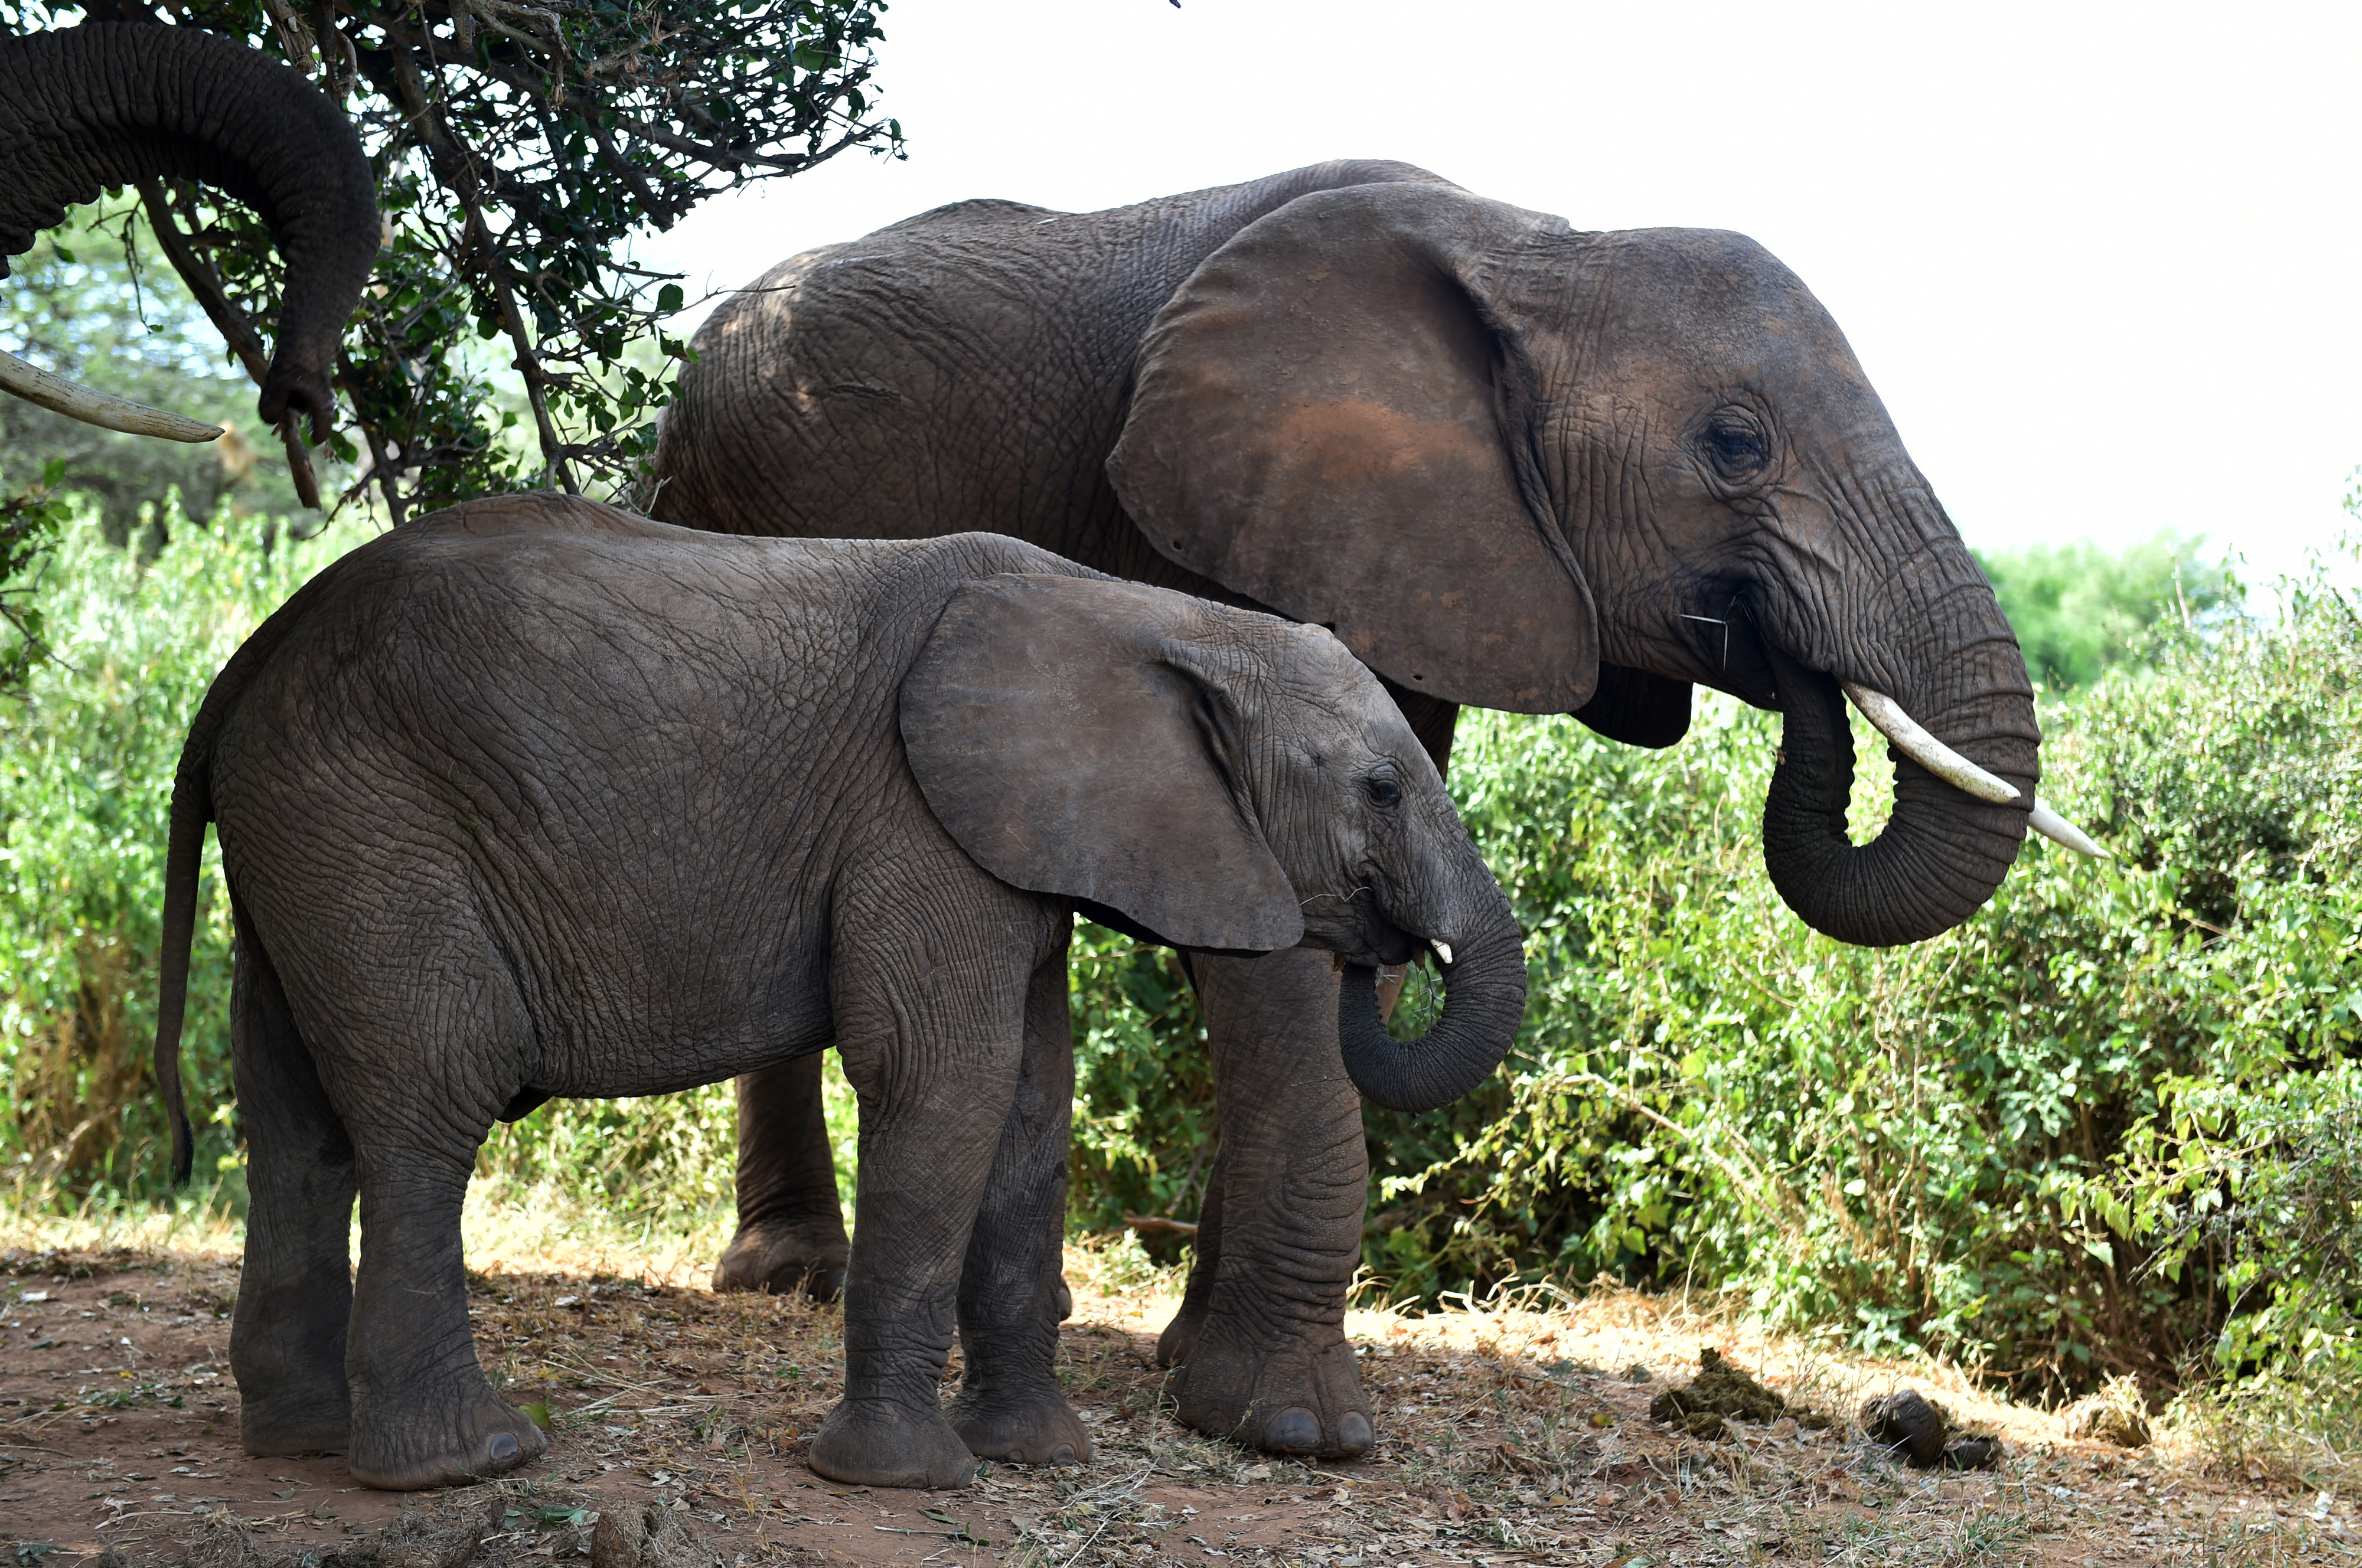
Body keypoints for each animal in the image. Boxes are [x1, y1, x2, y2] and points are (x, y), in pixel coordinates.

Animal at [148, 493, 1528, 1491]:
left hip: (305, 833)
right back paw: (462, 1464)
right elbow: (941, 1072)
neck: (1144, 612)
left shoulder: (1004, 840)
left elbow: (1031, 1095)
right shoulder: (915, 817)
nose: (1377, 947)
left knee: (296, 1126)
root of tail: (249, 659)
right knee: (430, 1099)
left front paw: (1033, 1459)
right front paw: (904, 1481)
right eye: (1382, 788)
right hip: (367, 815)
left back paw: (300, 1439)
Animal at [650, 160, 2102, 1458]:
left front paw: (1198, 1369)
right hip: (709, 503)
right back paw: (790, 1276)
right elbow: (1278, 946)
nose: (1793, 664)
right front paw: (1294, 1428)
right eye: (1733, 446)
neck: (1540, 248)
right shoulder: (1217, 523)